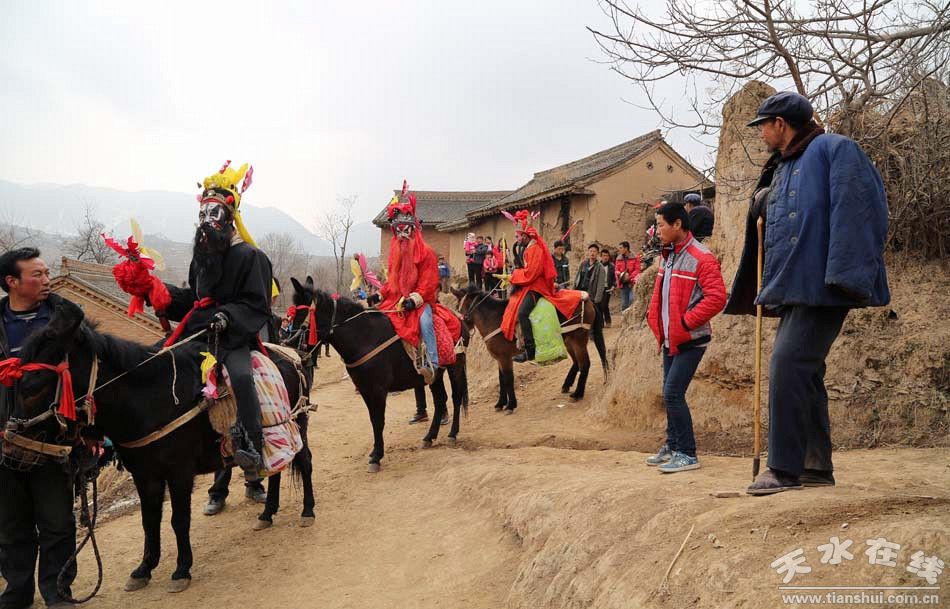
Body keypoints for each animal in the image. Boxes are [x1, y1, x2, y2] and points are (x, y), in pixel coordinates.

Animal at [8, 299, 315, 593]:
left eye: (32, 388)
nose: (14, 450)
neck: (150, 401)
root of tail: (291, 357)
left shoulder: (179, 473)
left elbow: (178, 520)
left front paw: (181, 570)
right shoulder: (145, 475)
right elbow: (149, 521)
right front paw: (144, 569)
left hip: (298, 424)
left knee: (305, 462)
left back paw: (307, 511)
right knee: (276, 470)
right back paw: (267, 513)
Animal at [290, 277, 468, 472]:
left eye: (300, 315)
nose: (288, 344)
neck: (364, 338)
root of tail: (458, 318)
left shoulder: (378, 390)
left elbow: (378, 421)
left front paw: (376, 457)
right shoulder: (365, 390)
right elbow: (373, 420)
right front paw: (375, 453)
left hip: (455, 366)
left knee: (456, 397)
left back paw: (452, 434)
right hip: (435, 376)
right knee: (440, 399)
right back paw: (429, 437)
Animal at [451, 286, 608, 411]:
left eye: (457, 307)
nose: (462, 334)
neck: (494, 319)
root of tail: (588, 300)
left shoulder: (505, 358)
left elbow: (508, 378)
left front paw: (511, 405)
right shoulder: (500, 359)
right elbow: (501, 379)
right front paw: (500, 403)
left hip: (578, 339)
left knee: (584, 364)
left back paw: (578, 393)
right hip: (569, 340)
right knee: (576, 363)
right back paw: (567, 385)